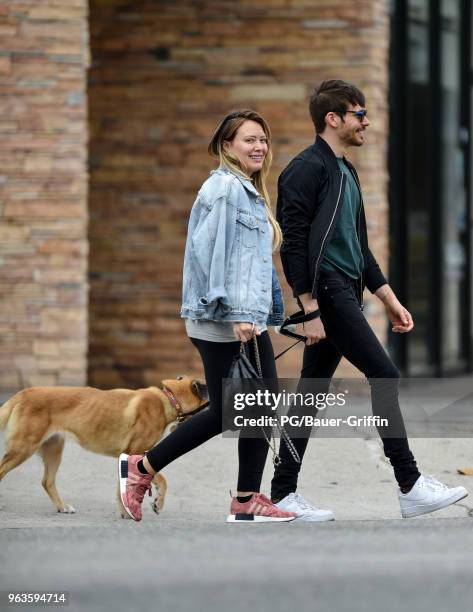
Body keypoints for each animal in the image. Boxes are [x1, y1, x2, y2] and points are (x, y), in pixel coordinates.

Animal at [0, 378, 207, 516]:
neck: (169, 399)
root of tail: (24, 393)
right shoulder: (134, 453)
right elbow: (159, 480)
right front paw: (147, 506)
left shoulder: (133, 457)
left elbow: (134, 484)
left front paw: (128, 510)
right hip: (23, 447)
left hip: (54, 449)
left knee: (47, 481)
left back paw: (62, 506)